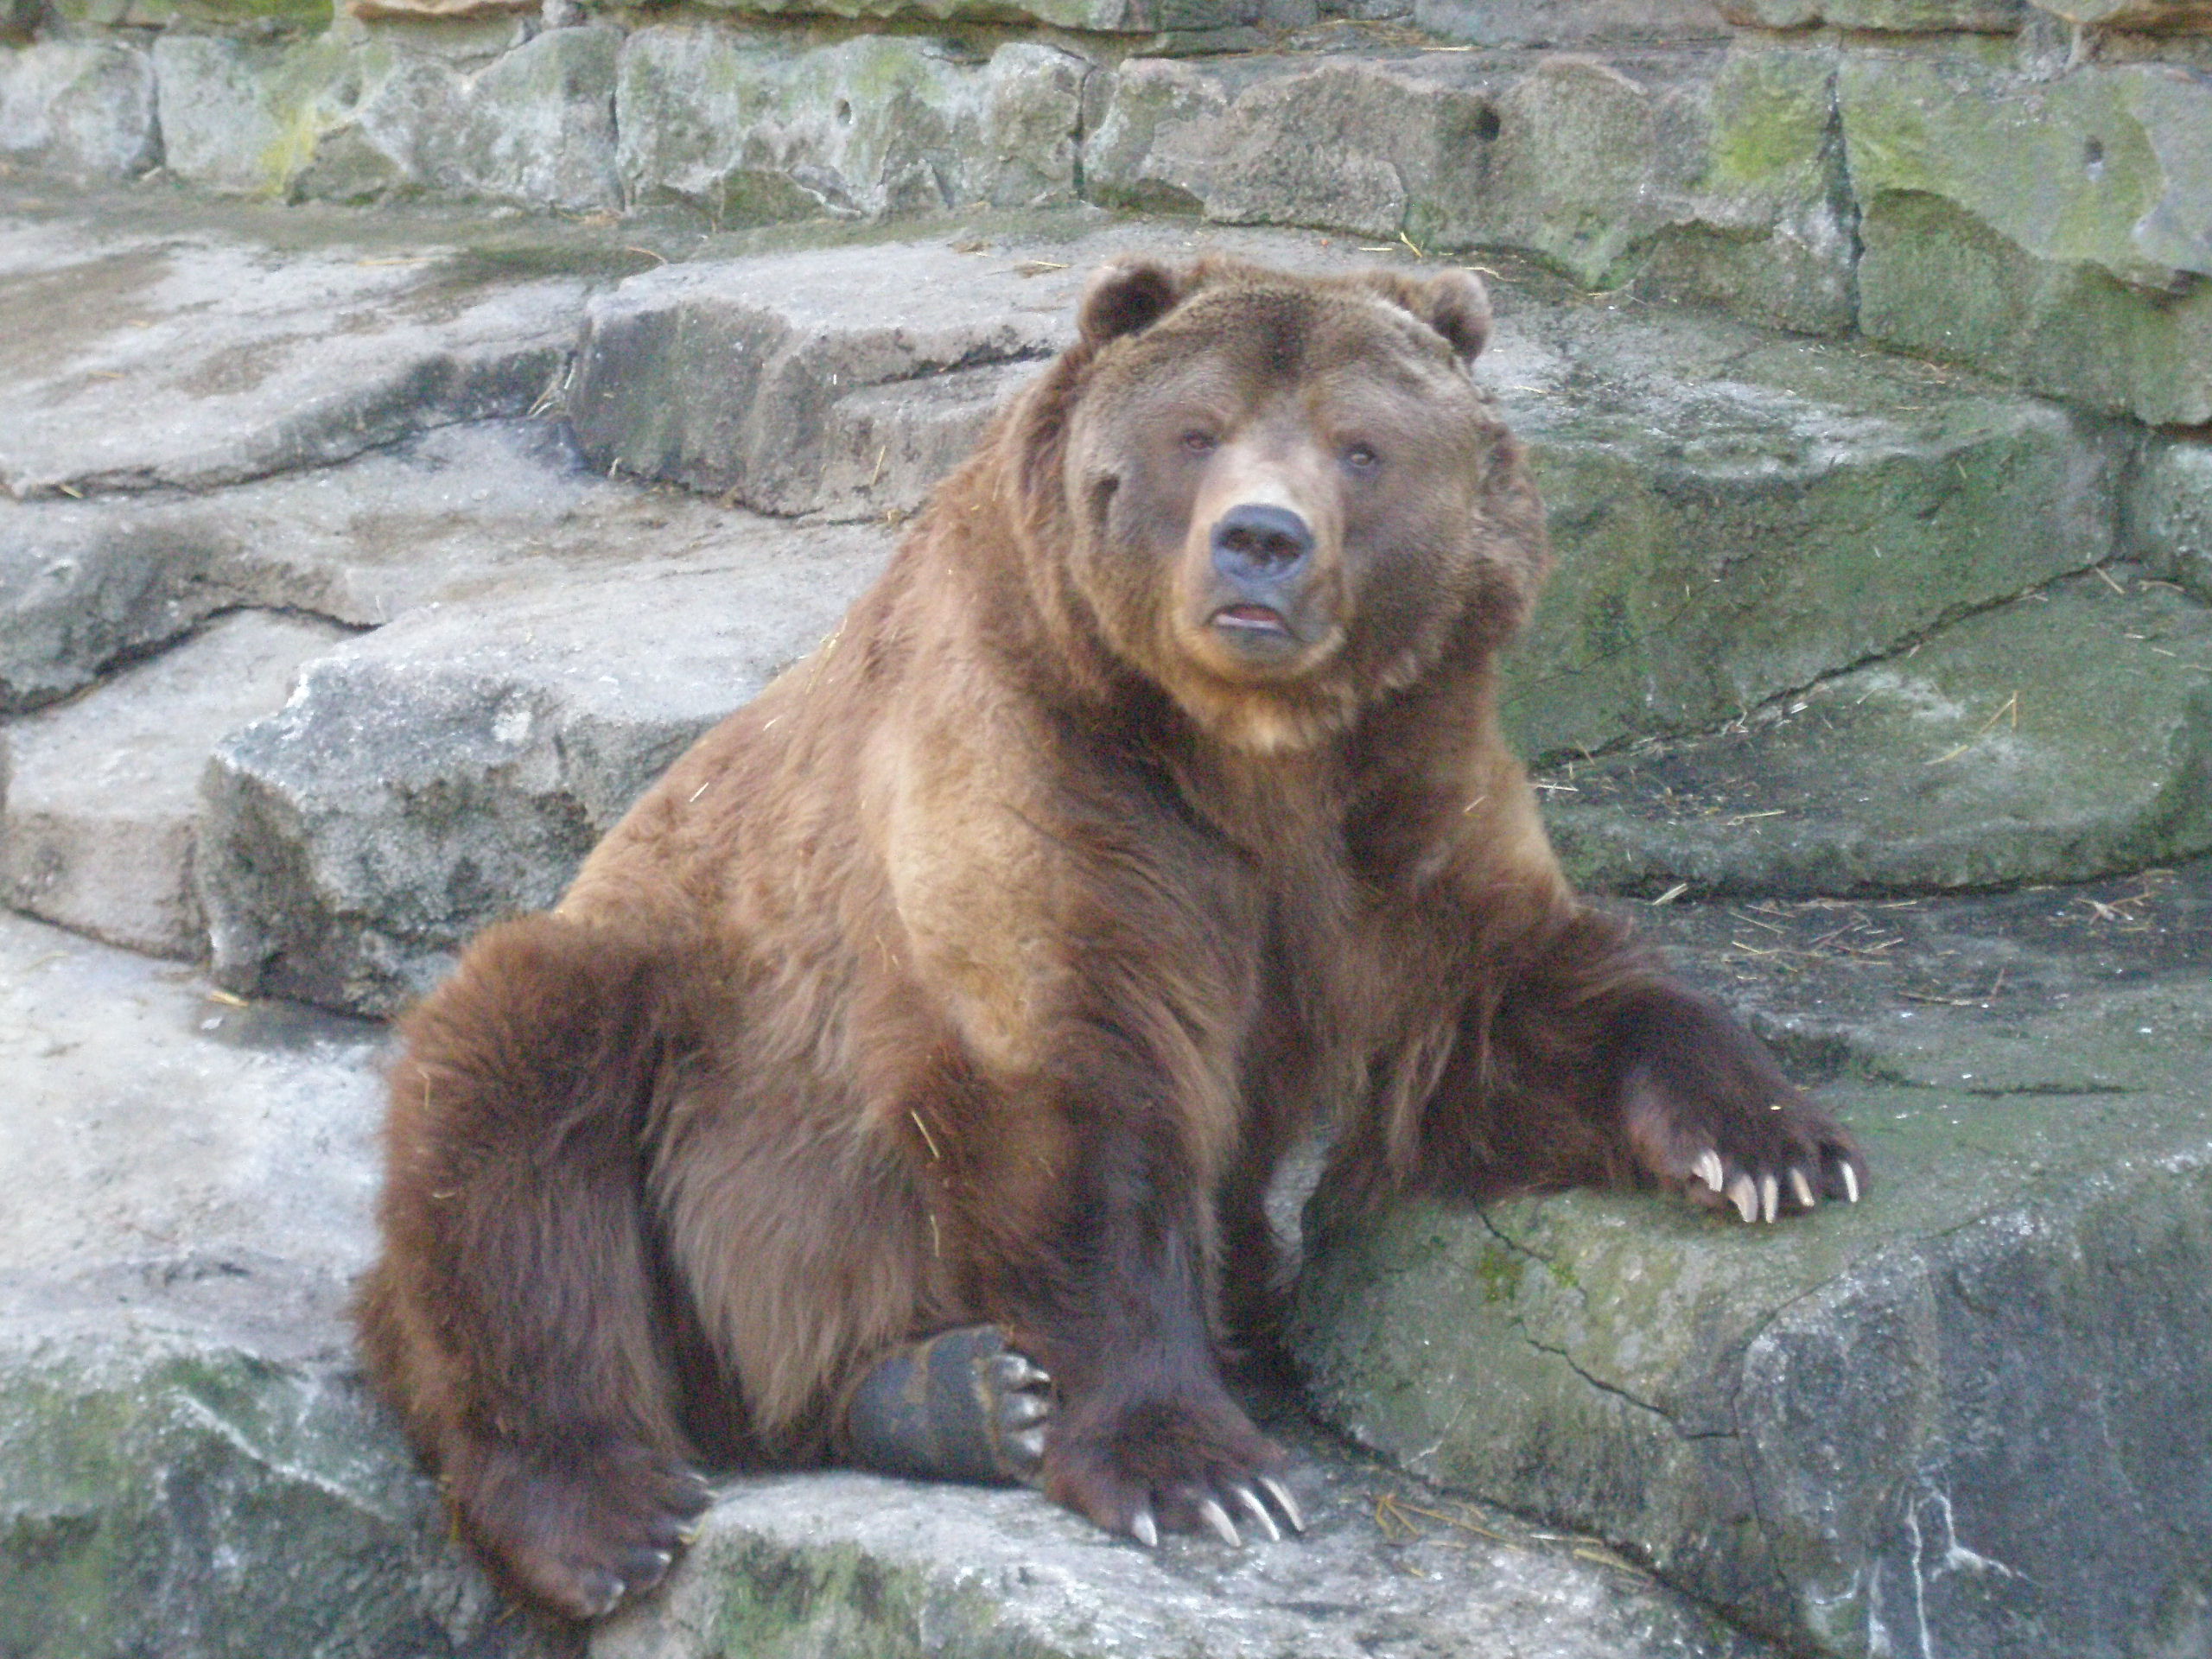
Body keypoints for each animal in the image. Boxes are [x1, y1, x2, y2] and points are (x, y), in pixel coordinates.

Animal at [349, 256, 1866, 1628]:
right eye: (1197, 433)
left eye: (1362, 447)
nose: (1262, 541)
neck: (1249, 755)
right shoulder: (1050, 779)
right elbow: (1075, 1099)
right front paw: (1197, 1467)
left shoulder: (1395, 805)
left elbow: (1515, 1000)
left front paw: (1775, 1142)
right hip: (675, 1035)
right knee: (513, 1118)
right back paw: (608, 1510)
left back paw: (950, 1395)